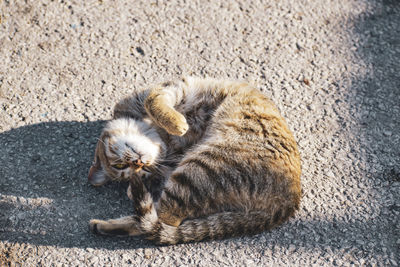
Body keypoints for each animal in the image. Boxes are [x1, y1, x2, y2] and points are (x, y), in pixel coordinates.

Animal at [87, 77, 300, 245]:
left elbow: (153, 100)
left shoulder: (174, 88)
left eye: (119, 165)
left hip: (202, 166)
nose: (140, 165)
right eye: (125, 168)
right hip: (199, 170)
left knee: (161, 219)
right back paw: (104, 225)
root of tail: (290, 201)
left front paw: (176, 123)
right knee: (160, 219)